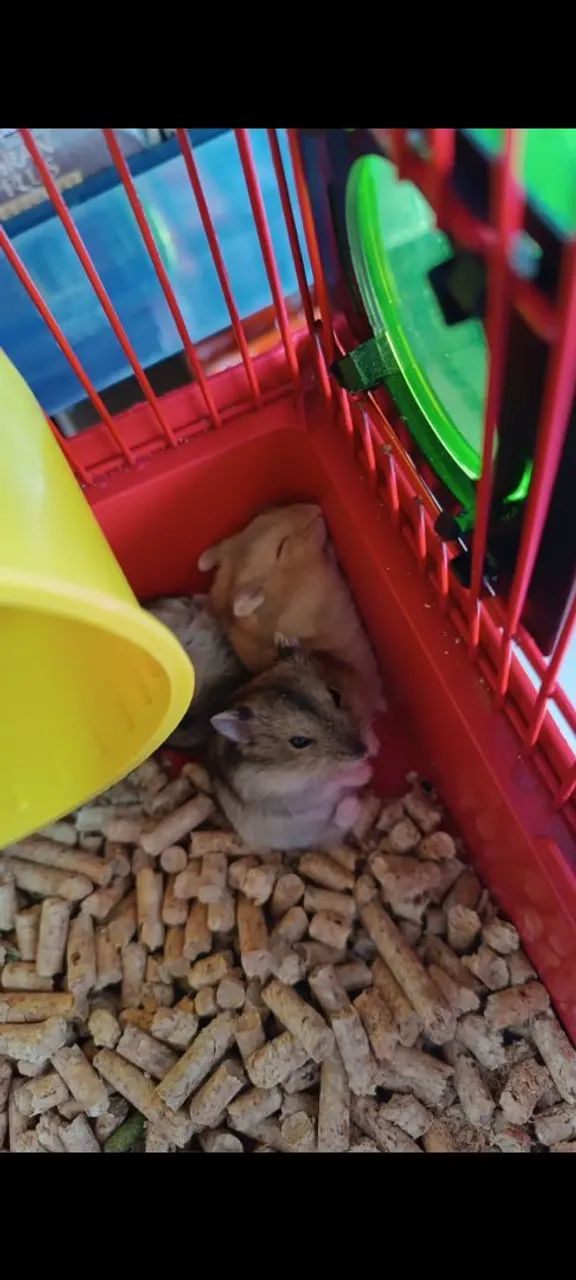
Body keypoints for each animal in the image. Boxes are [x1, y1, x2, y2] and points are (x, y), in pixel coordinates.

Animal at [207, 634, 373, 850]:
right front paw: (366, 771)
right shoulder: (287, 796)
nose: (363, 752)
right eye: (299, 742)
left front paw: (373, 750)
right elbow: (326, 783)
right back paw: (351, 805)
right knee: (334, 826)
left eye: (336, 695)